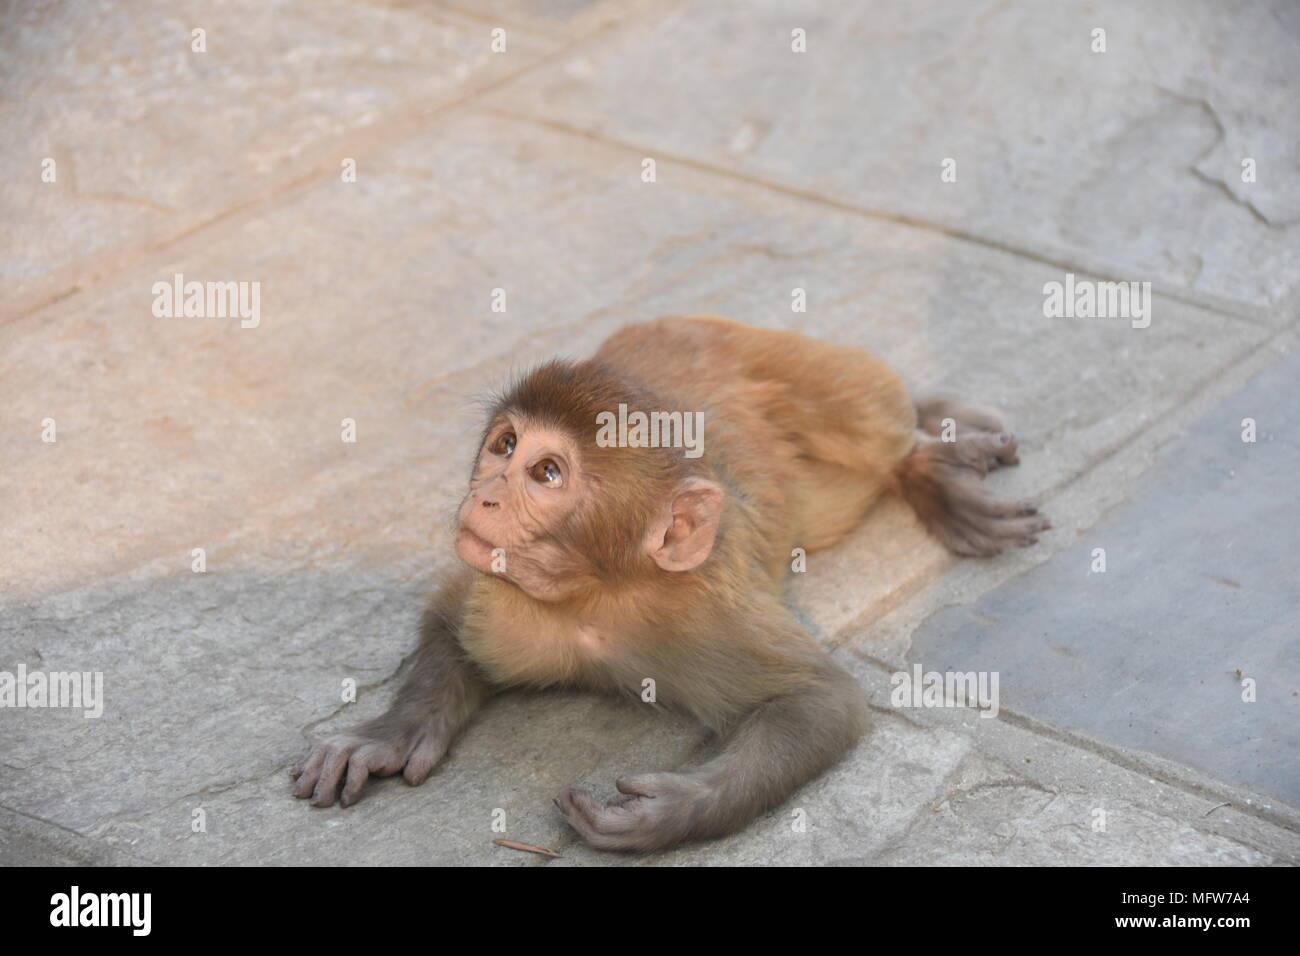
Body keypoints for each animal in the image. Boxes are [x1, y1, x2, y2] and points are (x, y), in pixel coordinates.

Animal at [292, 316, 1045, 853]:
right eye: (504, 446)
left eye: (545, 473)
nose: (486, 497)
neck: (597, 595)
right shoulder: (510, 610)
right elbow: (451, 614)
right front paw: (389, 735)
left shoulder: (702, 618)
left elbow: (822, 699)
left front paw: (670, 812)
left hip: (795, 359)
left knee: (869, 420)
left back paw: (930, 458)